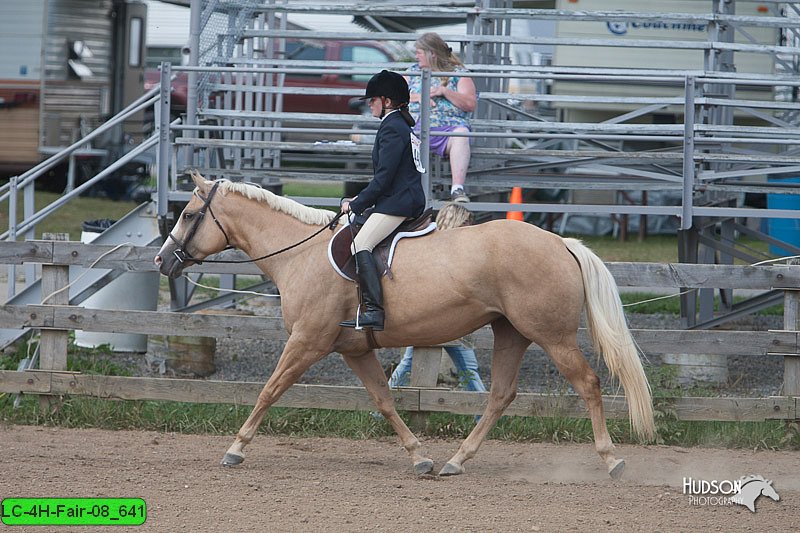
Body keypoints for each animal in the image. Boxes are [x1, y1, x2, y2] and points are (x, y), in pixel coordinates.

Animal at [153, 174, 652, 478]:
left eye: (189, 215)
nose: (162, 260)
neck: (299, 254)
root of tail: (561, 243)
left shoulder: (307, 342)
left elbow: (269, 391)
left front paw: (235, 449)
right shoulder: (354, 349)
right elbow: (384, 401)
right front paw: (420, 457)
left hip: (552, 336)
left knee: (587, 383)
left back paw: (611, 460)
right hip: (511, 333)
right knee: (500, 396)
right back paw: (455, 461)